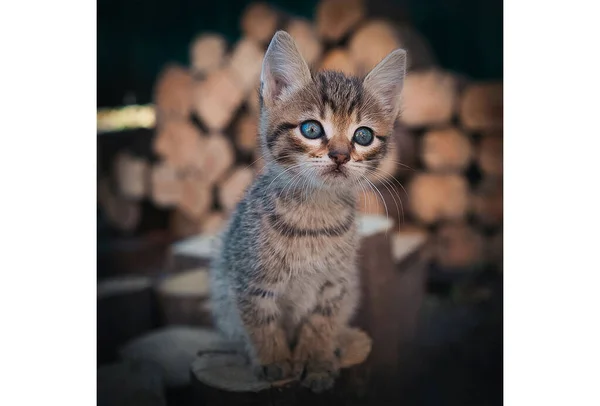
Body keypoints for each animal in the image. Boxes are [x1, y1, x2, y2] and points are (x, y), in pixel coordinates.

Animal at [209, 30, 406, 392]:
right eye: (312, 129)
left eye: (363, 135)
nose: (341, 155)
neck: (314, 215)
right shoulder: (250, 281)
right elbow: (261, 322)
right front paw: (273, 361)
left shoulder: (335, 286)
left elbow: (319, 325)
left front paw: (316, 361)